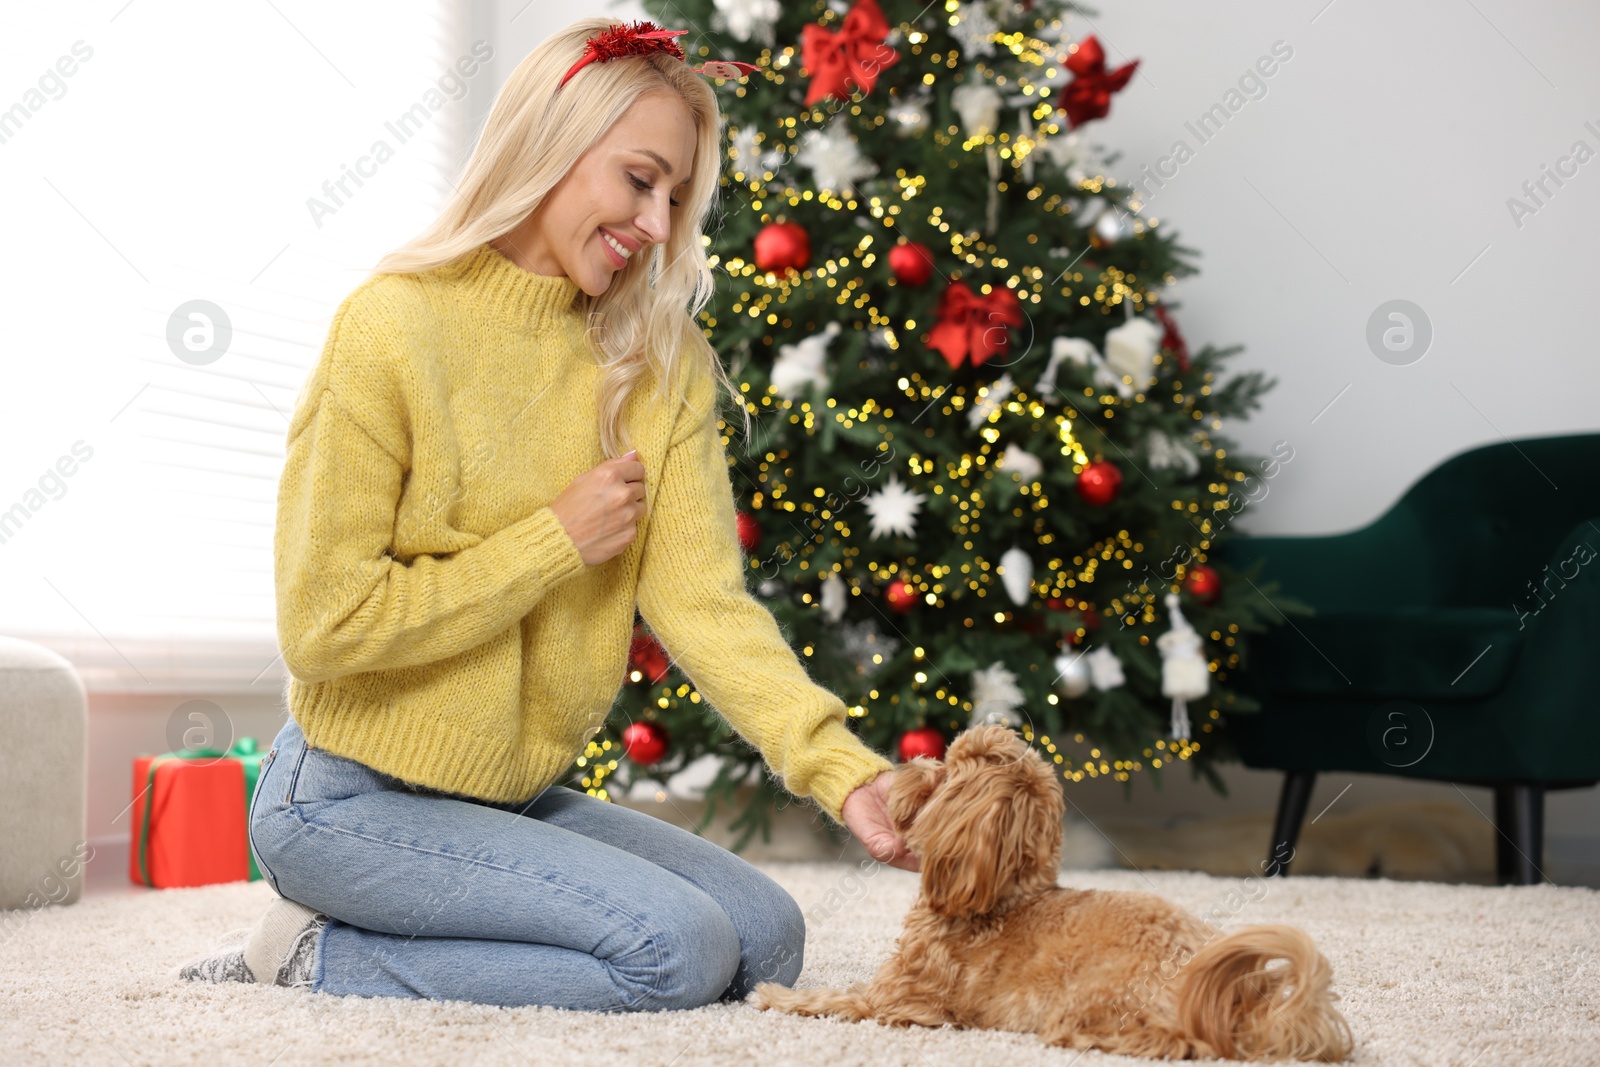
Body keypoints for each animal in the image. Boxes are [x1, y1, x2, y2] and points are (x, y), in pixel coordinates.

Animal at [755, 726, 1356, 1062]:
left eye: (945, 770)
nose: (911, 762)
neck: (1003, 897)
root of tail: (1242, 995)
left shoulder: (903, 1000)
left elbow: (835, 999)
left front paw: (775, 996)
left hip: (1100, 997)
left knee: (1178, 1041)